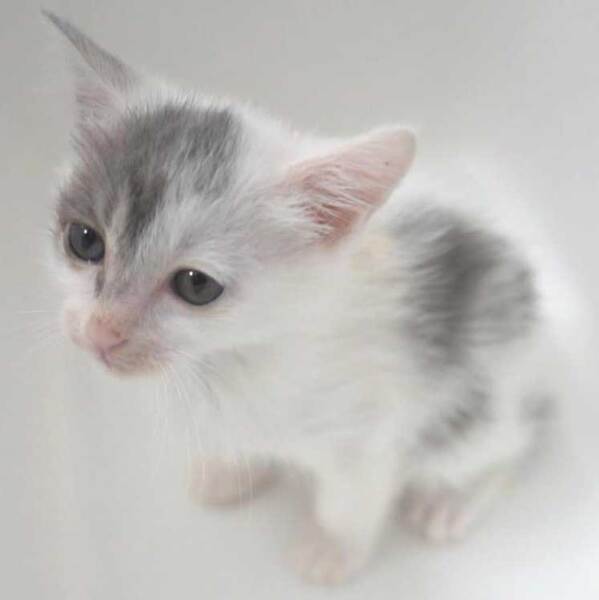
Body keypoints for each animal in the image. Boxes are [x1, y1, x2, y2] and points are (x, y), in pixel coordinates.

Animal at [45, 12, 568, 584]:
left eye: (196, 286)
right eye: (84, 241)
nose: (101, 330)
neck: (237, 354)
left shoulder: (369, 430)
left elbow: (351, 498)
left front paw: (331, 551)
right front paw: (228, 469)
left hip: (481, 406)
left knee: (513, 443)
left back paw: (451, 501)